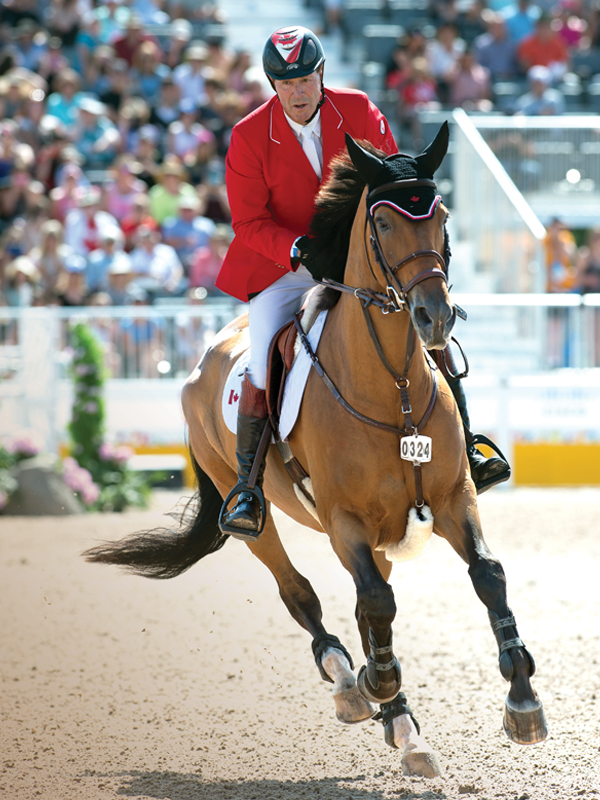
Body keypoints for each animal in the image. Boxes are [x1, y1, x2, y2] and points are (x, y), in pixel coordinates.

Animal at [84, 123, 547, 778]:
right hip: (249, 504)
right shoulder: (341, 519)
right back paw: (354, 688)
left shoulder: (455, 499)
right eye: (383, 225)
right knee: (300, 589)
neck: (393, 390)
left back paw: (404, 727)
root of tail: (203, 360)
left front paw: (522, 700)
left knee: (366, 604)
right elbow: (375, 601)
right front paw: (377, 682)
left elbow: (487, 576)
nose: (433, 317)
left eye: (441, 218)